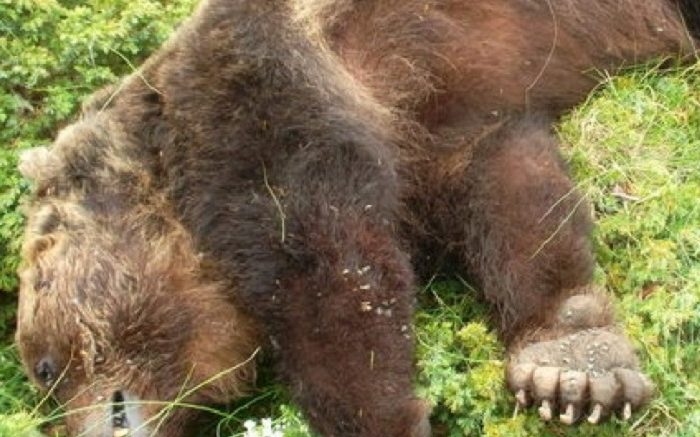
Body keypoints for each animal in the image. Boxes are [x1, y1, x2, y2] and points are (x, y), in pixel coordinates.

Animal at [14, 0, 699, 436]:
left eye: (44, 366)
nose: (76, 429)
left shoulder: (250, 91)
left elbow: (324, 263)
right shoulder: (449, 120)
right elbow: (510, 187)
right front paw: (571, 370)